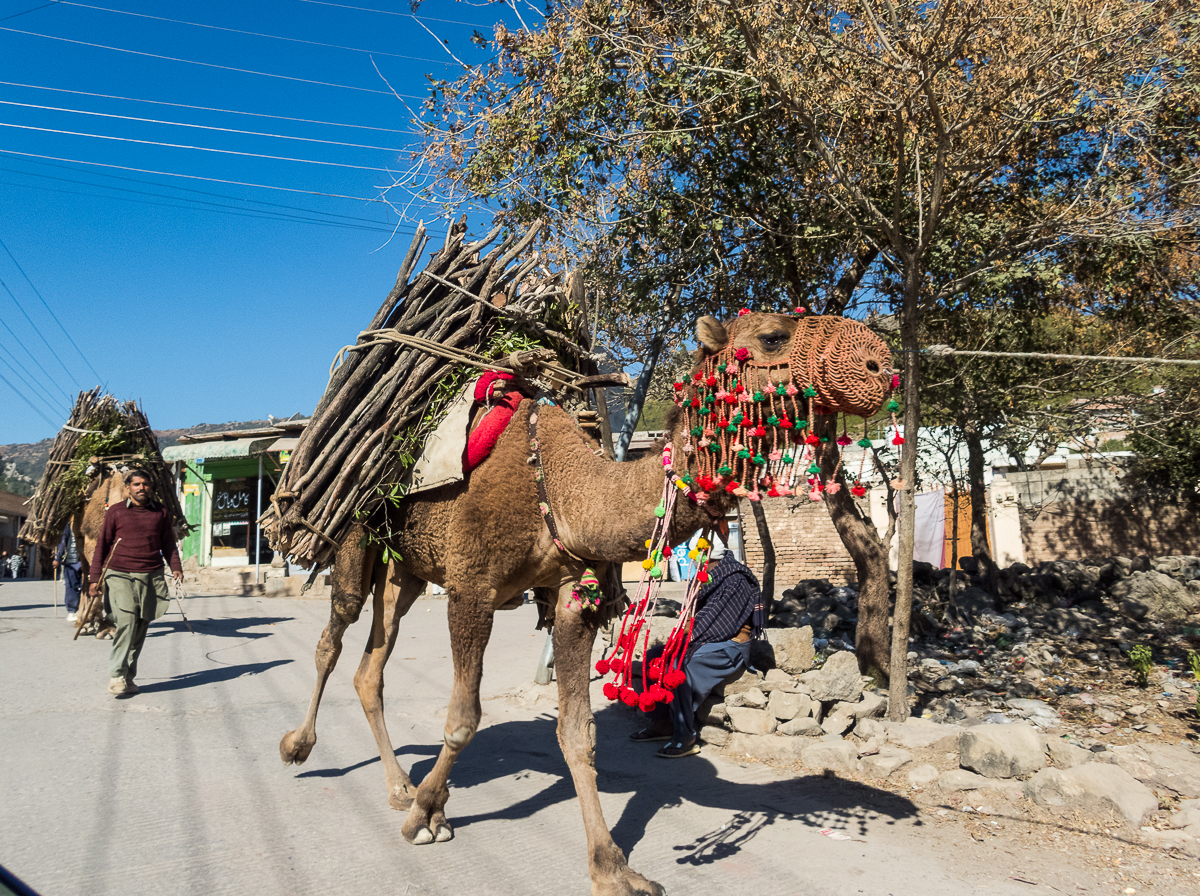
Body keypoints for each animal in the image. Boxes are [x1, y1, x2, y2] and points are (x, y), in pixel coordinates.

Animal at [278, 309, 892, 896]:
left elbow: (579, 734)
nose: (877, 363)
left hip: (403, 570)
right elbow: (462, 719)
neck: (564, 488)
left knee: (371, 666)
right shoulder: (471, 586)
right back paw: (301, 749)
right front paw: (428, 817)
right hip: (354, 537)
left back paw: (400, 787)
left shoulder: (575, 602)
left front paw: (612, 870)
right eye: (771, 337)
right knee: (333, 637)